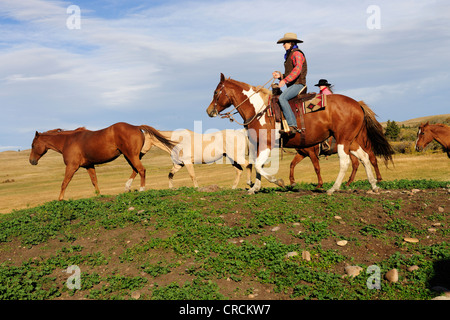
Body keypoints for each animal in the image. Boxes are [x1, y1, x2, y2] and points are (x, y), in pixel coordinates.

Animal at [29, 122, 177, 200]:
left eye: (33, 145)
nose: (31, 161)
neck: (68, 141)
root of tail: (136, 126)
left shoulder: (72, 166)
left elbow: (64, 183)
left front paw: (60, 199)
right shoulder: (89, 166)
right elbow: (94, 181)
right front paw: (99, 196)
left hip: (131, 155)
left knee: (141, 170)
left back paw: (141, 189)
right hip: (130, 156)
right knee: (135, 170)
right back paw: (127, 187)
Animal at [206, 74, 392, 195]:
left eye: (216, 92)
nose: (209, 111)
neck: (259, 110)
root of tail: (357, 104)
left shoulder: (267, 144)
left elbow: (259, 166)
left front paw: (279, 182)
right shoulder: (259, 144)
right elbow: (258, 165)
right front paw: (255, 188)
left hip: (343, 140)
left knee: (347, 161)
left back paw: (334, 188)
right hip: (351, 140)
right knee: (365, 158)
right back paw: (373, 185)